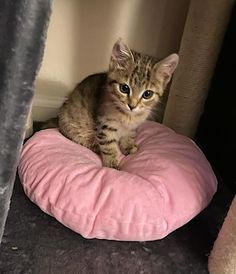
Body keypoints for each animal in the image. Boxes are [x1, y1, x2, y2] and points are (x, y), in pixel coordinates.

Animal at [57, 39, 179, 168]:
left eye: (147, 94)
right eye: (124, 88)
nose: (132, 106)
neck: (128, 117)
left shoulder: (132, 127)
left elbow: (129, 136)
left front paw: (128, 147)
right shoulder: (104, 125)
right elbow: (108, 146)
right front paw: (111, 164)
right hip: (71, 123)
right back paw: (93, 145)